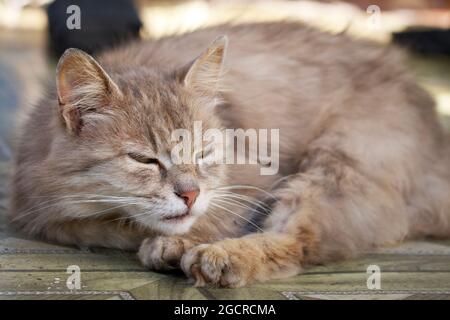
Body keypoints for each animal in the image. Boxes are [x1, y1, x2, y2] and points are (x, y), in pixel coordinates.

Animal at [10, 22, 450, 288]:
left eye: (203, 152)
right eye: (145, 160)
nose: (189, 195)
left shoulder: (259, 178)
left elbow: (219, 215)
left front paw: (182, 242)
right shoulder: (44, 214)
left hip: (342, 160)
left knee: (299, 239)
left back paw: (221, 257)